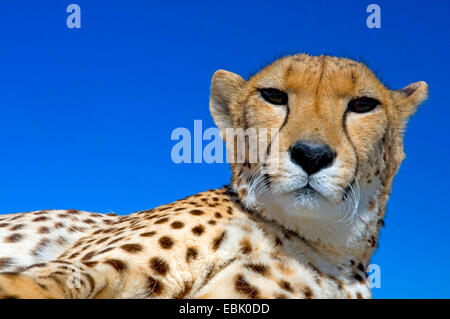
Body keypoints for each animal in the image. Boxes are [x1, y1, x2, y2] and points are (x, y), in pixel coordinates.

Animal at [0, 54, 428, 300]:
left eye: (363, 105)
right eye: (273, 96)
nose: (311, 154)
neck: (320, 244)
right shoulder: (89, 265)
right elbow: (40, 281)